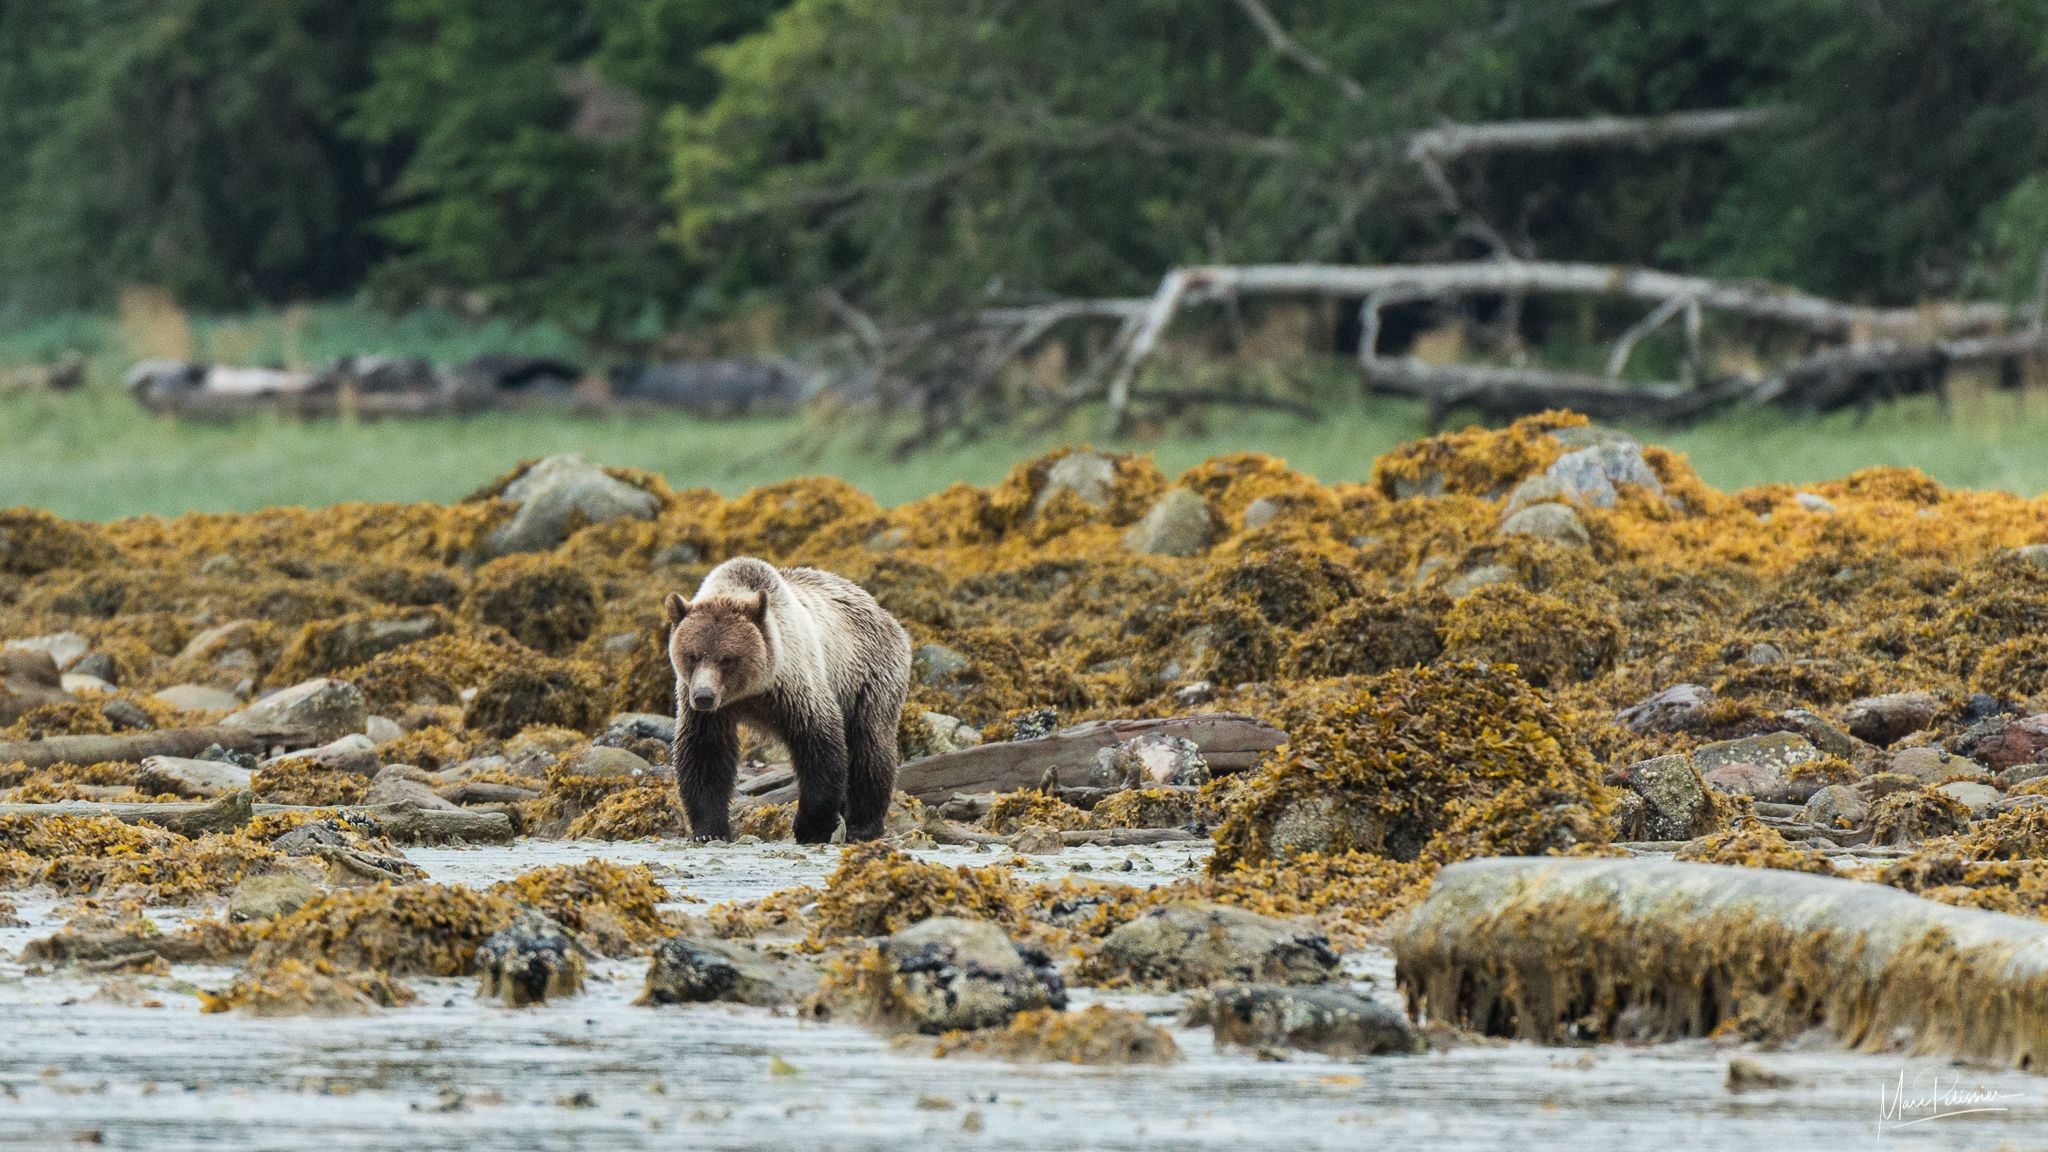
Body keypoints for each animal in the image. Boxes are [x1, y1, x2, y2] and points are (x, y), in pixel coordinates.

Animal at [665, 556, 912, 843]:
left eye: (727, 658)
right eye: (693, 655)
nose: (704, 696)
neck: (751, 691)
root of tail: (884, 612)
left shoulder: (795, 684)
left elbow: (820, 745)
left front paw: (811, 827)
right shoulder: (708, 710)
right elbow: (705, 754)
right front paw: (709, 830)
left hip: (869, 677)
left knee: (869, 746)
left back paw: (863, 825)